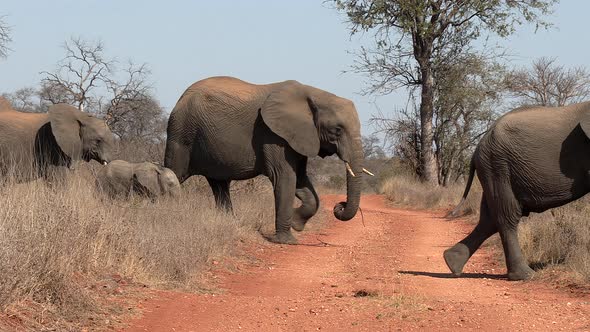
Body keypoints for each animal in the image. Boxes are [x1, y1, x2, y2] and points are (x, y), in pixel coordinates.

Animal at [166, 76, 368, 245]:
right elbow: (285, 178)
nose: (339, 206)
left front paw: (297, 224)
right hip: (181, 134)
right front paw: (287, 241)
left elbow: (301, 181)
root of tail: (180, 98)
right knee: (174, 173)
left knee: (219, 184)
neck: (314, 94)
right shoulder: (273, 135)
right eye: (337, 130)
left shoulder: (299, 137)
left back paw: (228, 222)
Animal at [446, 101, 590, 280]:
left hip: (494, 168)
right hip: (498, 166)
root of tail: (478, 146)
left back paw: (451, 262)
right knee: (507, 216)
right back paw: (525, 275)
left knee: (489, 220)